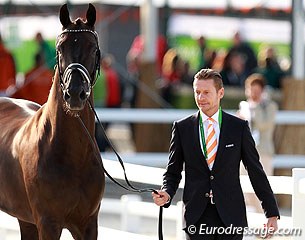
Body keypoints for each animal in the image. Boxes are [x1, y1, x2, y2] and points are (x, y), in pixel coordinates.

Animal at [0, 3, 104, 240]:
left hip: (25, 218)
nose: (74, 94)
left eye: (93, 48)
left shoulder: (88, 224)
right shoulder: (48, 224)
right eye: (60, 48)